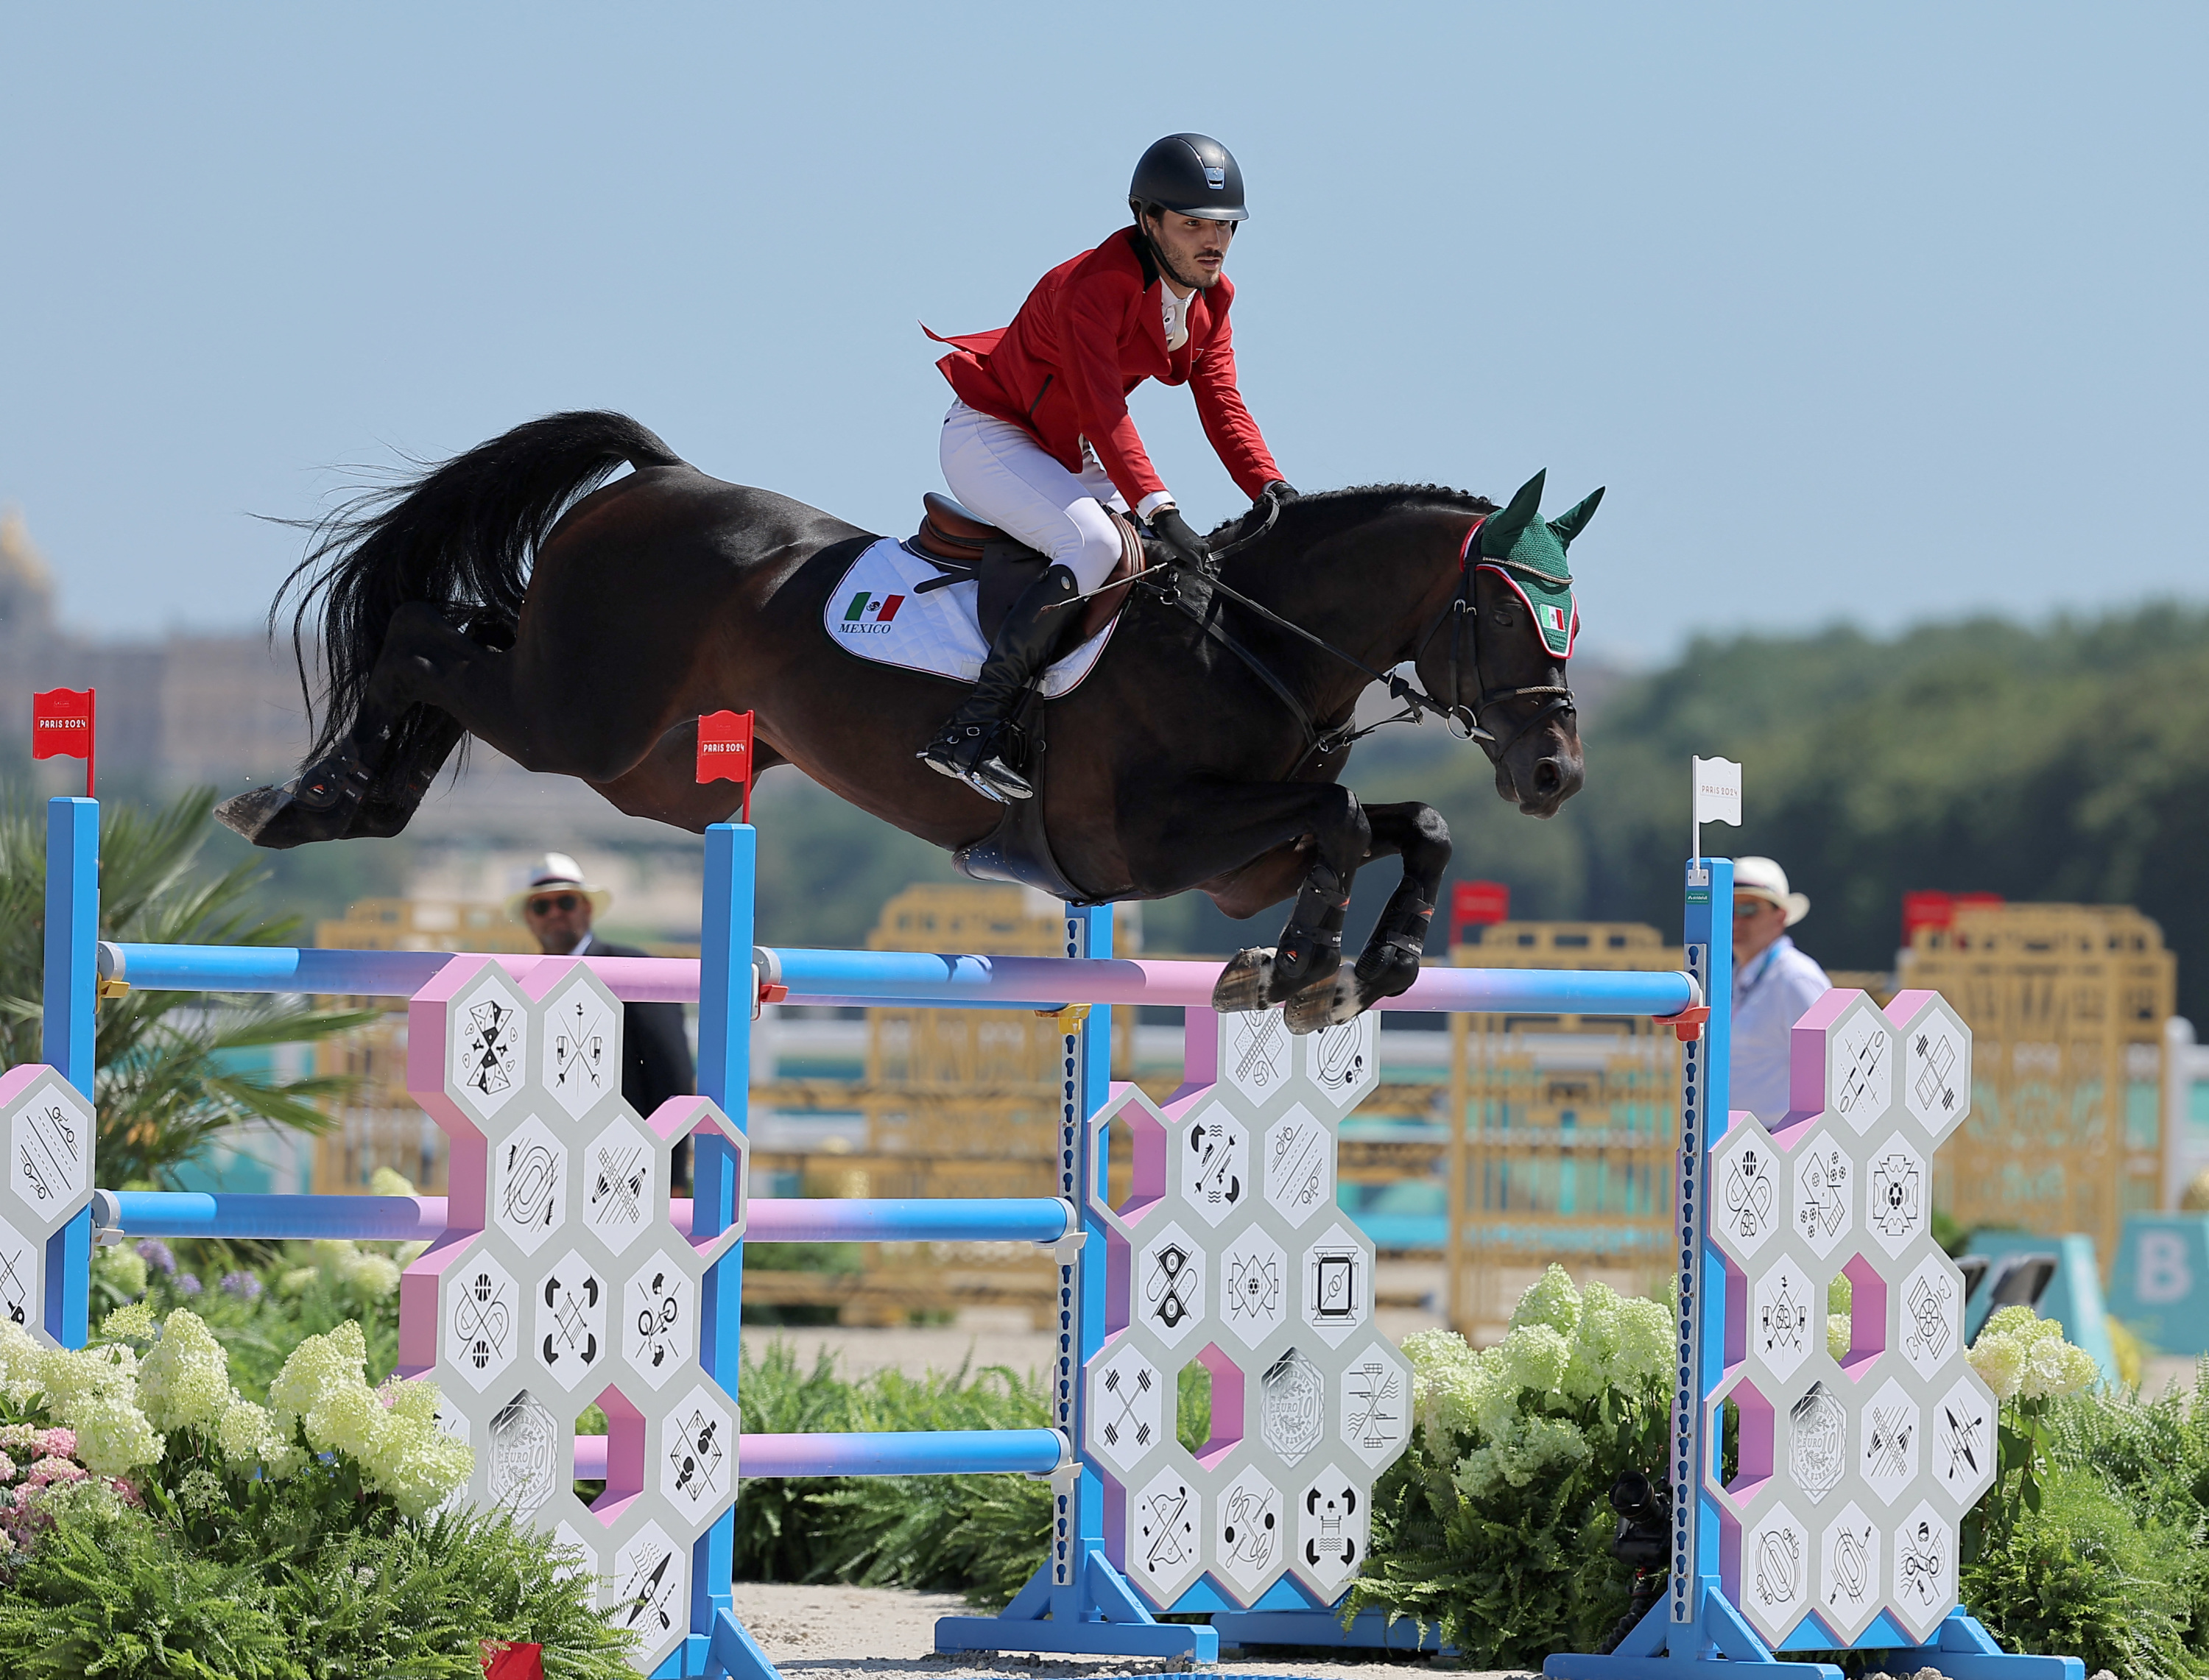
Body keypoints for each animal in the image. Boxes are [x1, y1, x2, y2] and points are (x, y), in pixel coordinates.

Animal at [224, 412, 1599, 1028]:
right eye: (1505, 611)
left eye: (1573, 617)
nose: (1554, 776)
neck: (1252, 642)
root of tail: (659, 474)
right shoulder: (1148, 841)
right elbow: (1340, 813)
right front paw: (1311, 968)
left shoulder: (1236, 865)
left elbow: (1403, 821)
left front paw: (1372, 963)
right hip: (584, 716)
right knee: (422, 633)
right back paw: (306, 801)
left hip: (655, 766)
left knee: (460, 640)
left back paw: (346, 796)